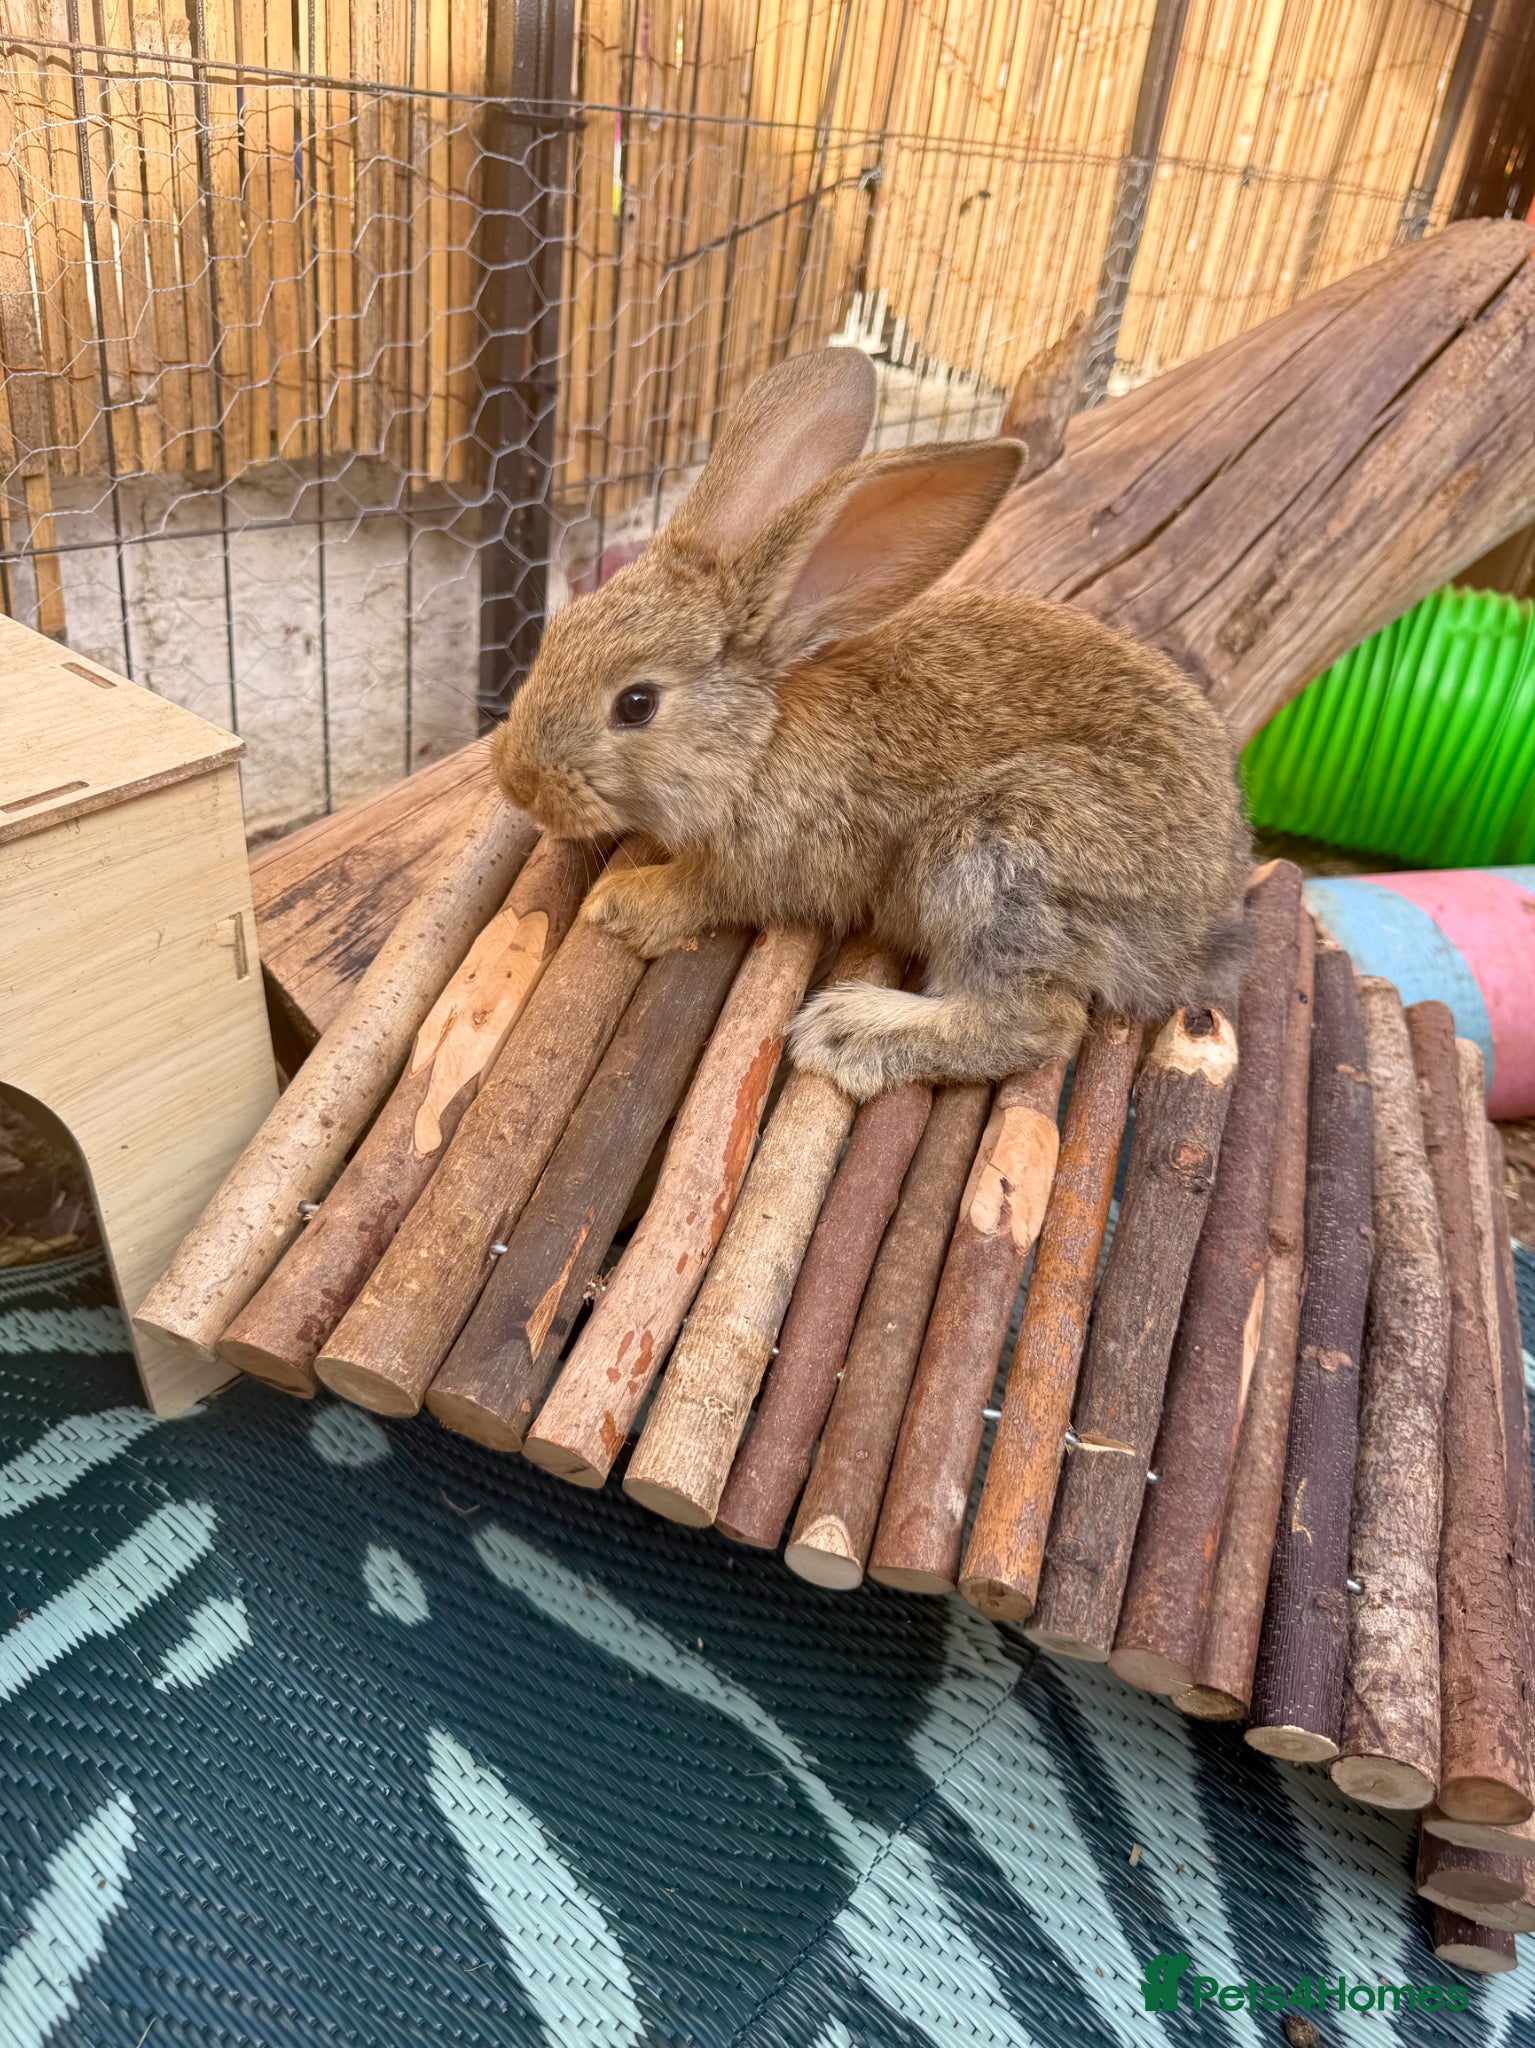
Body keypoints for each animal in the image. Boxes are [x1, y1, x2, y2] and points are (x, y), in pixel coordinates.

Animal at [494, 346, 1251, 1099]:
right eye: (556, 631)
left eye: (637, 704)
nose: (516, 782)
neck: (755, 742)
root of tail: (1201, 925)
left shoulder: (768, 860)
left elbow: (706, 891)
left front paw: (622, 904)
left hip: (999, 856)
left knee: (1037, 1022)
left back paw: (848, 1031)